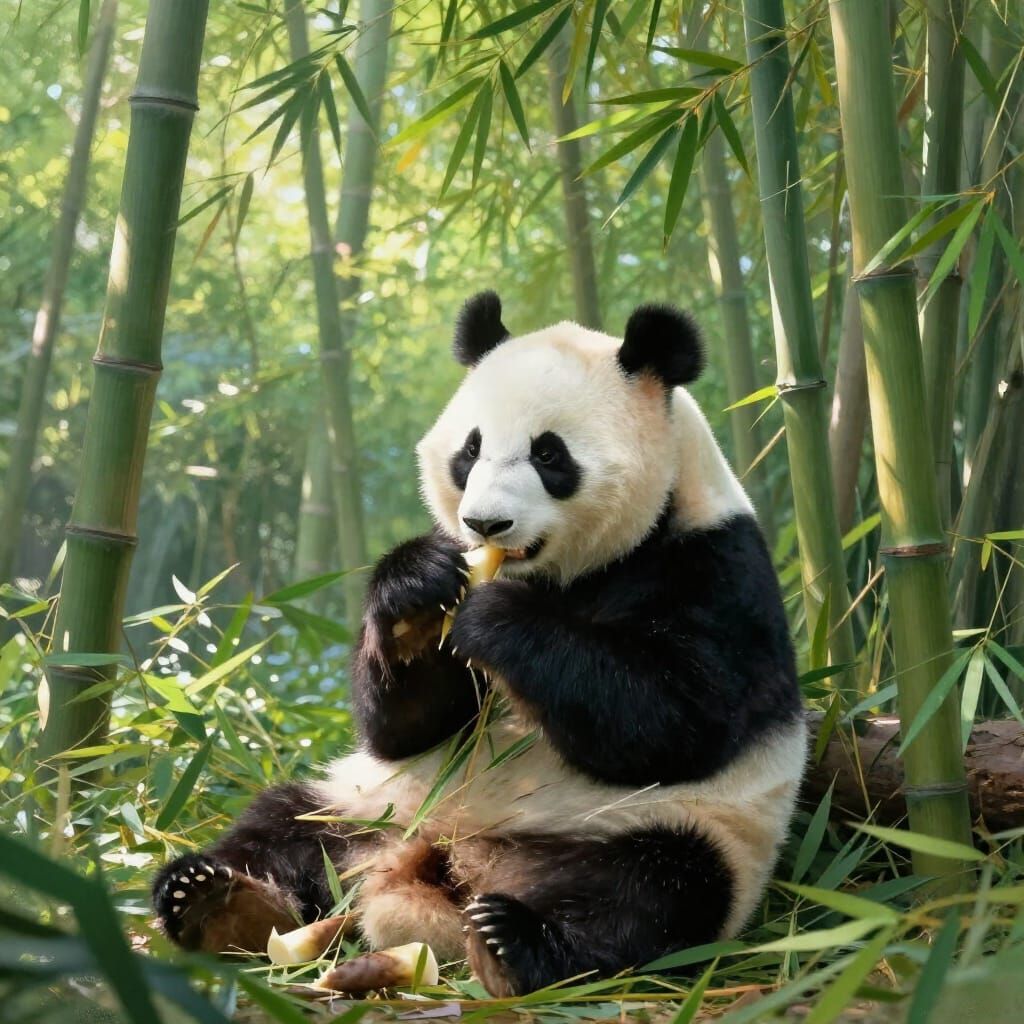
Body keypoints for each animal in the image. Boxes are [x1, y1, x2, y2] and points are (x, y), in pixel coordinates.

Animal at [153, 292, 806, 997]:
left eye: (549, 455)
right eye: (470, 449)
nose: (485, 523)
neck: (565, 572)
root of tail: (441, 860)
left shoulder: (715, 568)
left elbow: (676, 719)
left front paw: (497, 618)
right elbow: (406, 727)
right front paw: (417, 591)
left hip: (664, 829)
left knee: (653, 891)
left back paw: (515, 943)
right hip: (369, 804)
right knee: (283, 826)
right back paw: (213, 901)